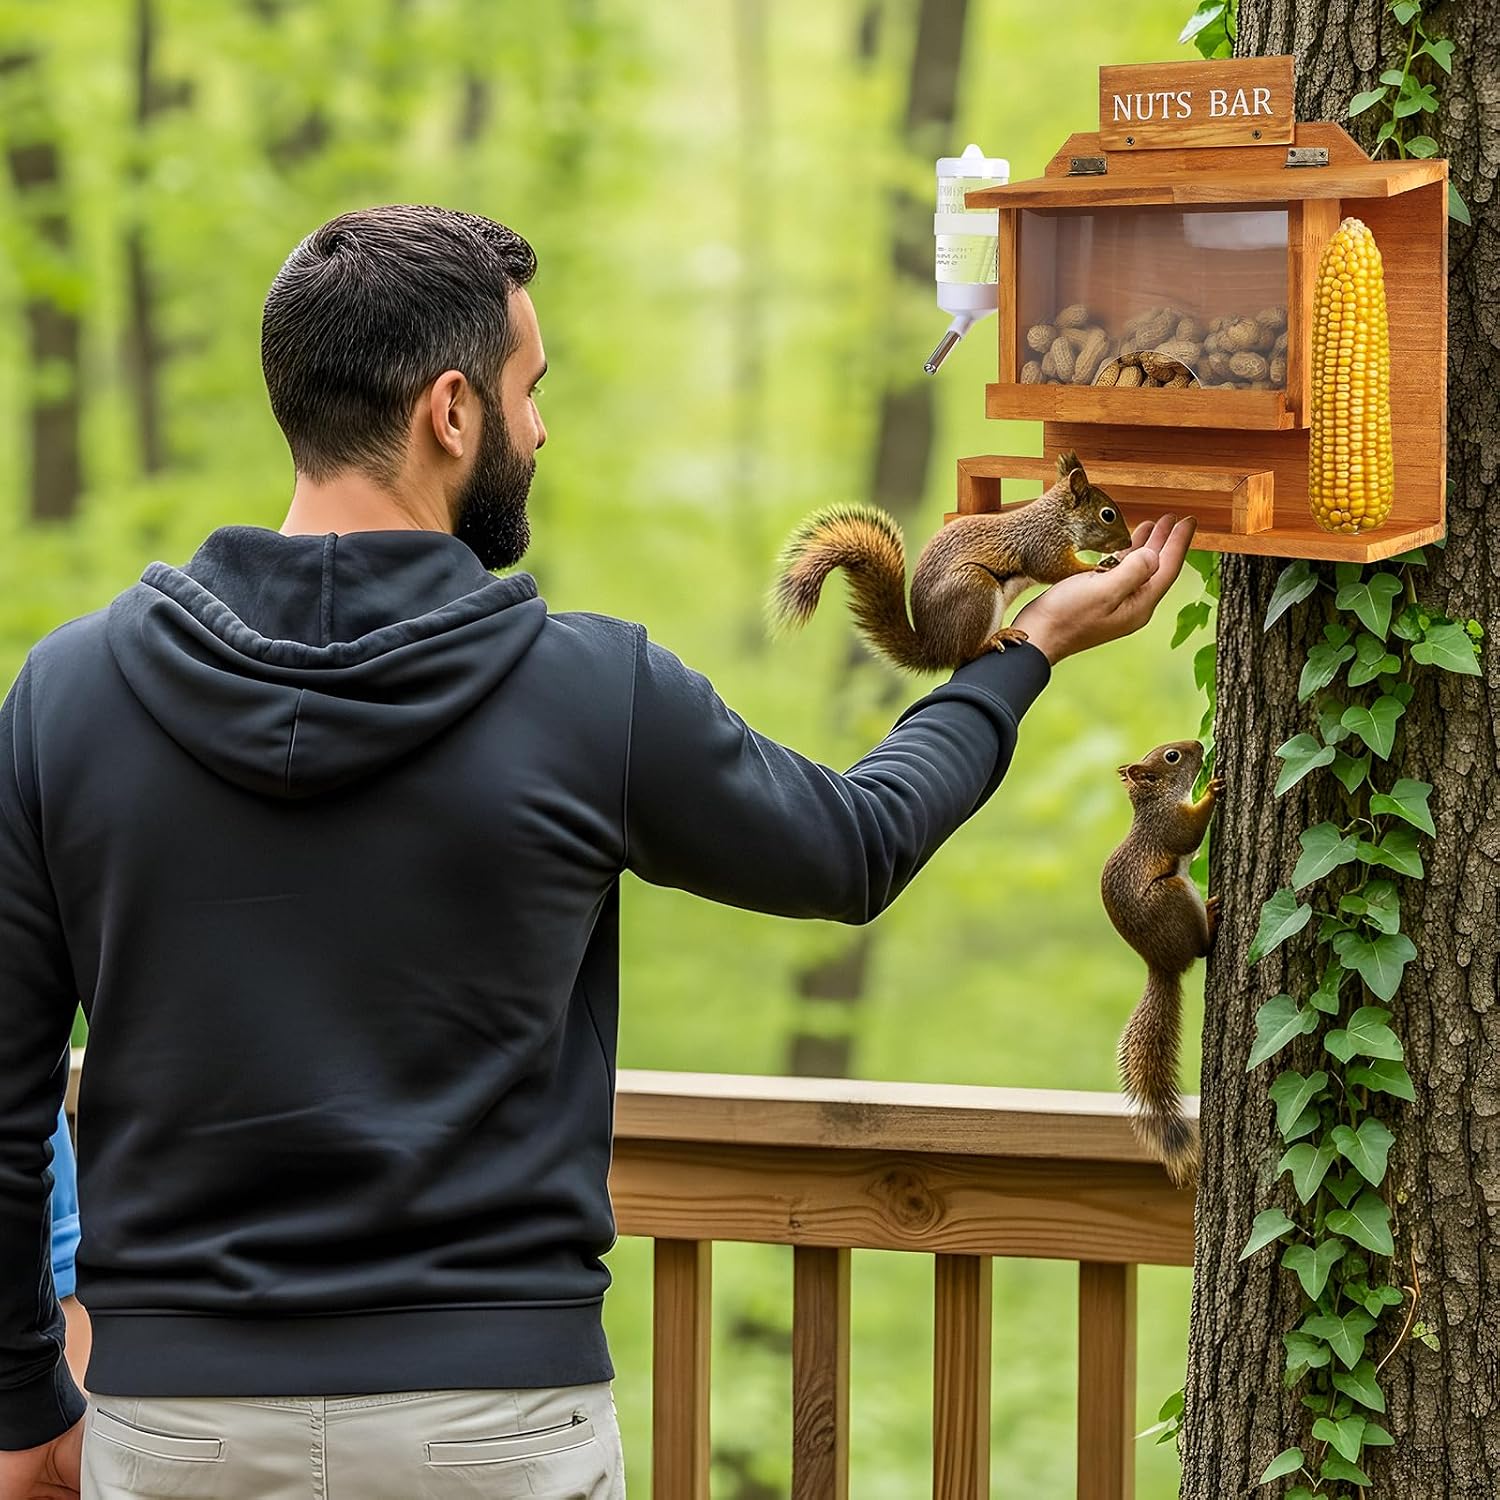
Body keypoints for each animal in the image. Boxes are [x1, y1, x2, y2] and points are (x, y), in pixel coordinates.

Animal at [769, 451, 1133, 672]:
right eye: (1108, 514)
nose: (1129, 543)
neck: (1057, 518)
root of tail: (934, 648)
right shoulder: (1042, 545)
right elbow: (1054, 569)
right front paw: (1095, 566)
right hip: (974, 589)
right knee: (965, 655)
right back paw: (995, 639)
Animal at [1100, 740, 1222, 1189]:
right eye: (1172, 756)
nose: (1199, 744)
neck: (1154, 801)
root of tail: (1161, 965)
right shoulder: (1168, 825)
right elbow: (1189, 831)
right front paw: (1213, 789)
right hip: (1173, 896)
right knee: (1201, 950)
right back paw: (1212, 920)